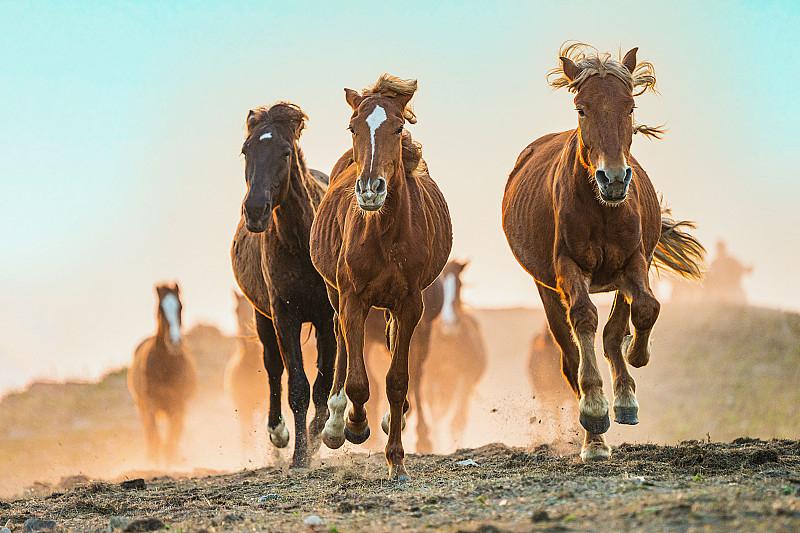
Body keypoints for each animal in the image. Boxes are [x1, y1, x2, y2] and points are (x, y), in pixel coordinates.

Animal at [128, 283, 197, 464]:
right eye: (160, 308)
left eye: (180, 306)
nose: (175, 341)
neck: (165, 367)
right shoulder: (150, 406)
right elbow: (156, 440)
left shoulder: (178, 405)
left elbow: (171, 441)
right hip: (144, 408)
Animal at [231, 103, 336, 468]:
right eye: (246, 150)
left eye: (286, 152)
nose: (254, 210)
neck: (299, 242)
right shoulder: (284, 315)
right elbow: (298, 386)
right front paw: (300, 453)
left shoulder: (327, 317)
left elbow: (323, 382)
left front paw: (320, 438)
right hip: (262, 316)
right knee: (273, 367)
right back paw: (278, 433)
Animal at [424, 260, 488, 450]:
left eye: (459, 284)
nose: (449, 322)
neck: (448, 341)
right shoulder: (432, 379)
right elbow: (436, 418)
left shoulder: (464, 379)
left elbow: (457, 421)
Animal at [502, 43, 705, 461]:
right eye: (582, 108)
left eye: (630, 106)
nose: (612, 178)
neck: (602, 208)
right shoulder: (567, 267)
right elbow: (584, 320)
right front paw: (595, 413)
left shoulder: (634, 260)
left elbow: (644, 309)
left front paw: (636, 359)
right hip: (545, 288)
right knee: (570, 355)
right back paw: (593, 439)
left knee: (617, 327)